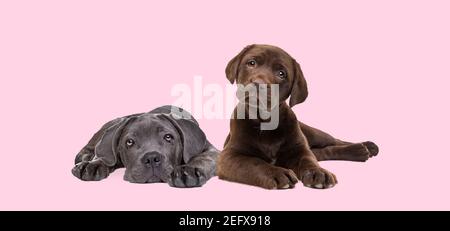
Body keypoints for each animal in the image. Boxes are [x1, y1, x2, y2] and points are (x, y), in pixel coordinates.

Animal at [72, 105, 220, 187]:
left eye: (168, 137)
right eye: (130, 142)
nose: (151, 158)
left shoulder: (211, 151)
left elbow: (204, 158)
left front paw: (187, 171)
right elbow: (105, 156)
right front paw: (92, 165)